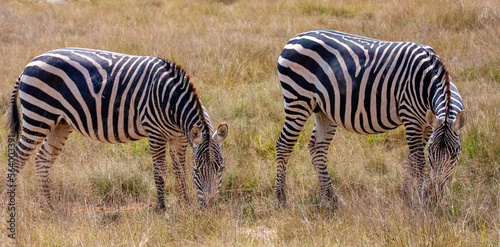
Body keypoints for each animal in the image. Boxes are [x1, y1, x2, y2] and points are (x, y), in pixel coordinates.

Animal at [6, 47, 229, 209]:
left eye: (221, 168)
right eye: (198, 170)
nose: (209, 207)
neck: (172, 101)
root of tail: (29, 64)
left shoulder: (179, 137)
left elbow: (180, 171)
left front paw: (184, 205)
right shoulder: (155, 132)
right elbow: (160, 172)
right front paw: (161, 207)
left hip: (60, 123)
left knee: (42, 159)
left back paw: (48, 206)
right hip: (38, 116)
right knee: (16, 159)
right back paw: (10, 204)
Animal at [276, 29, 466, 207]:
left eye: (455, 154)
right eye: (431, 152)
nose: (434, 195)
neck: (426, 80)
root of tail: (294, 38)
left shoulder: (426, 126)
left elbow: (411, 159)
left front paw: (407, 196)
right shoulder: (411, 118)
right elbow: (419, 162)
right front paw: (419, 203)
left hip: (322, 109)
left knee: (317, 147)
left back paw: (331, 199)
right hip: (298, 98)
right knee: (284, 145)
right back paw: (282, 199)